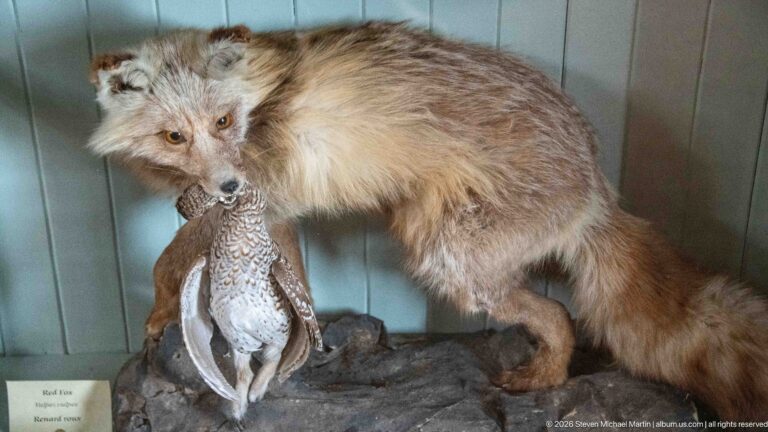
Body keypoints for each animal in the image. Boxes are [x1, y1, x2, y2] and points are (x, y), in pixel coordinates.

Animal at [87, 22, 768, 421]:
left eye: (224, 122)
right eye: (175, 135)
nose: (228, 183)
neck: (262, 108)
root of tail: (599, 185)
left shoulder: (263, 204)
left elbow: (180, 258)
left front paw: (167, 314)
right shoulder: (254, 213)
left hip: (450, 259)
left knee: (560, 314)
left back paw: (546, 380)